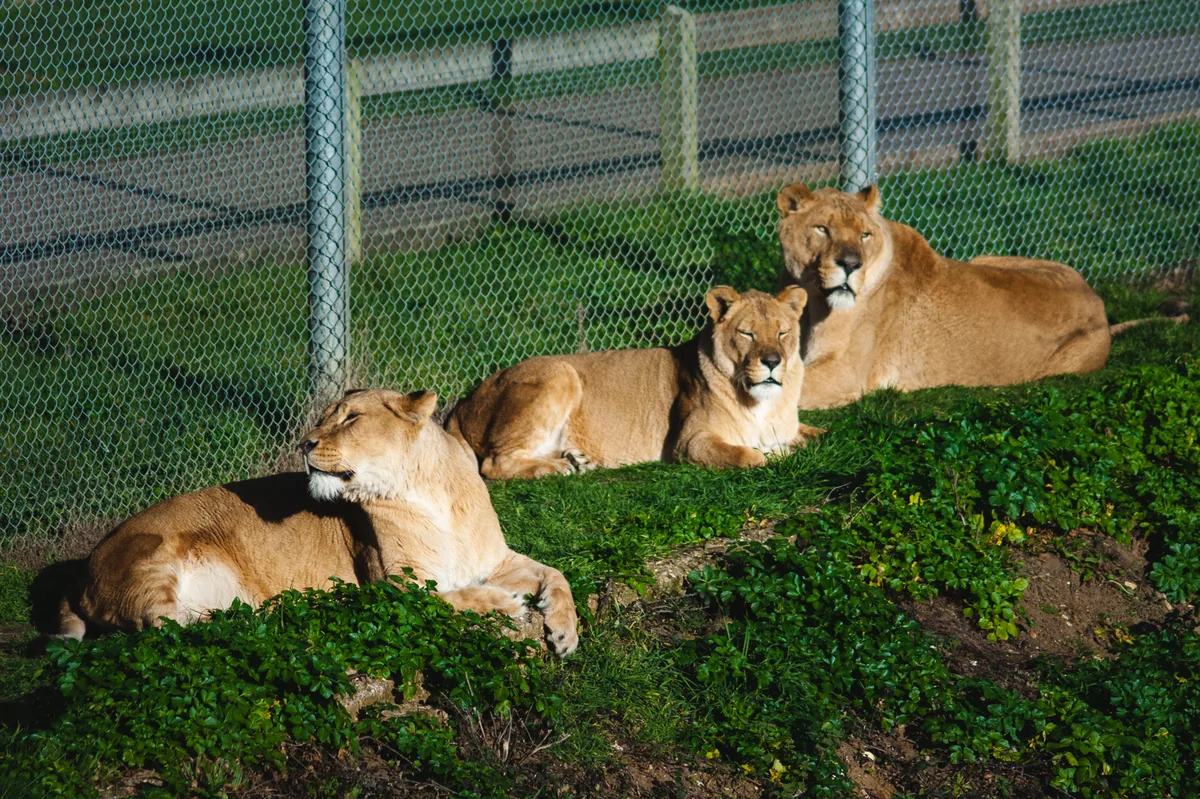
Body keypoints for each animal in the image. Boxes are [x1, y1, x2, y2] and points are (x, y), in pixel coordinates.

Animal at [36, 389, 579, 656]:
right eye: (324, 418)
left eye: (350, 418)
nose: (304, 444)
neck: (429, 492)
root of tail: (82, 571)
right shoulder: (391, 586)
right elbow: (450, 598)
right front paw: (502, 603)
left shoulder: (495, 558)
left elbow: (557, 574)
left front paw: (565, 633)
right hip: (153, 553)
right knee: (161, 627)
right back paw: (273, 614)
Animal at [445, 286, 824, 479]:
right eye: (747, 334)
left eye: (782, 333)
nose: (772, 361)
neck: (764, 403)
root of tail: (464, 403)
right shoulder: (688, 443)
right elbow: (751, 456)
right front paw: (775, 452)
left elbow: (818, 434)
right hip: (560, 373)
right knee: (492, 464)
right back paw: (557, 468)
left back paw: (575, 460)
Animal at [775, 183, 1186, 409]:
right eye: (823, 229)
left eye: (864, 235)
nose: (851, 264)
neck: (813, 298)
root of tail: (1100, 307)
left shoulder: (845, 374)